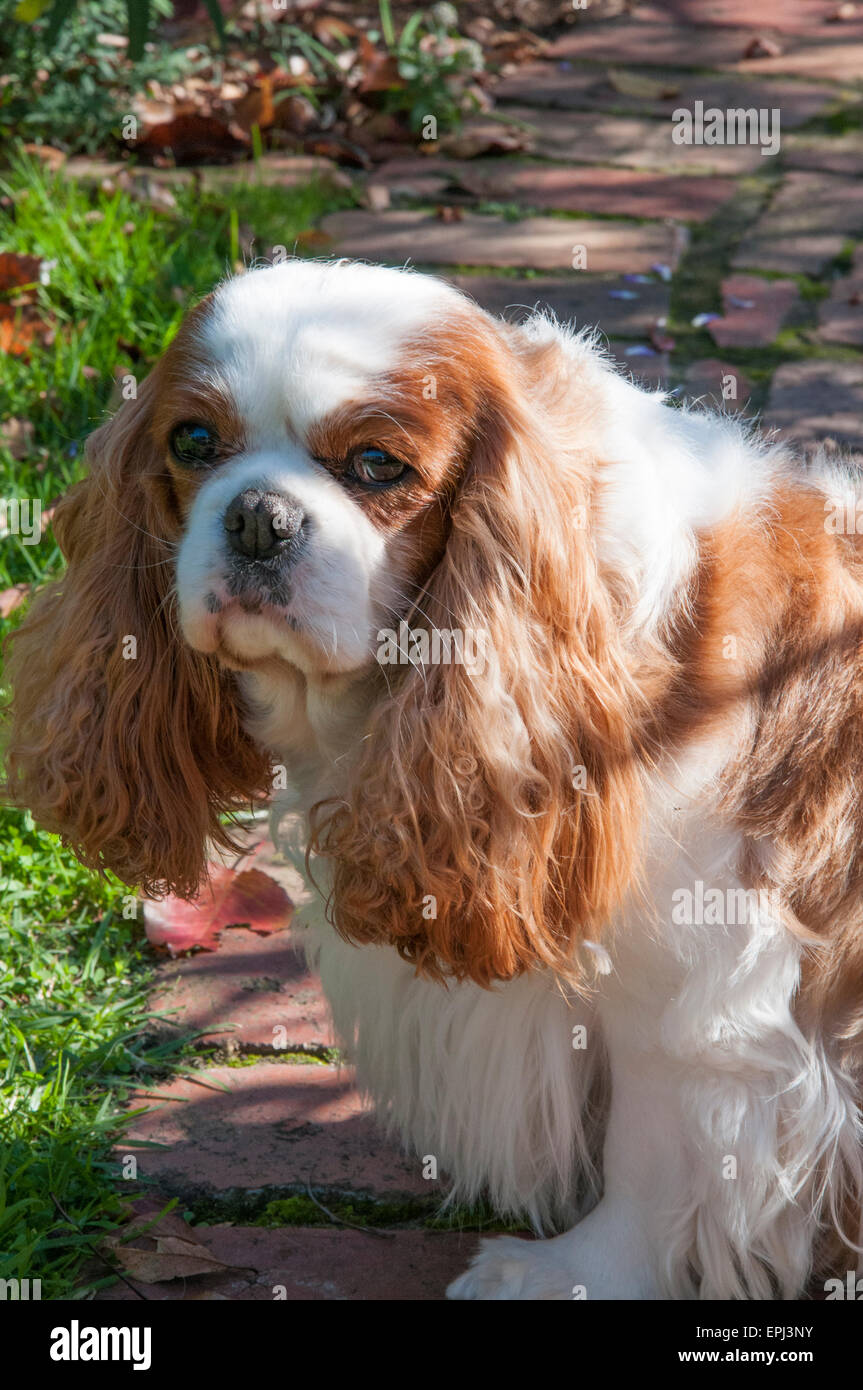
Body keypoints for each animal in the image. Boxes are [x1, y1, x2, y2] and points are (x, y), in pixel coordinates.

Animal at [6, 258, 861, 1301]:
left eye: (379, 466)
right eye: (193, 441)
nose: (256, 517)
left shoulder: (700, 983)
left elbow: (658, 1149)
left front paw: (576, 1271)